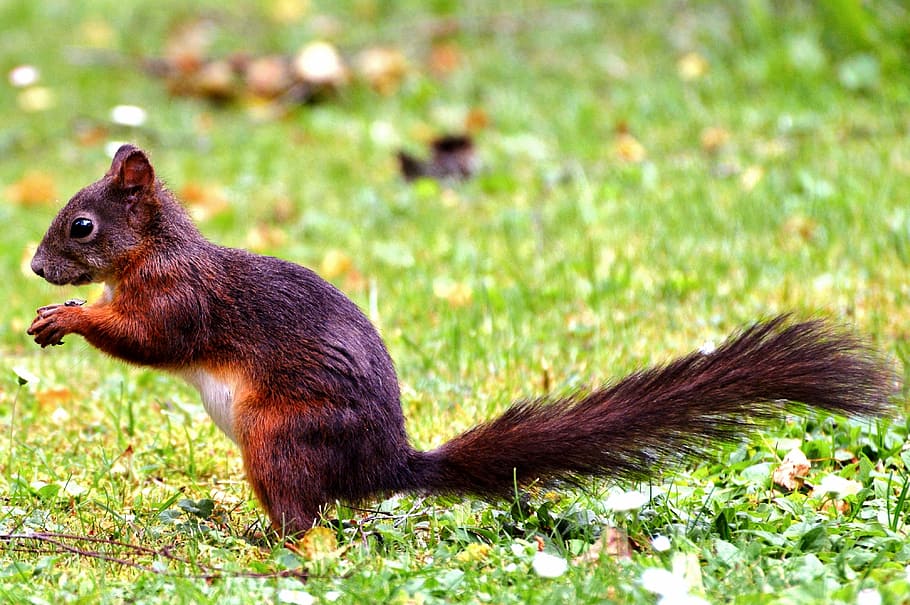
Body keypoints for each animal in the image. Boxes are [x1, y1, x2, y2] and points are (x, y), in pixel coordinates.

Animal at [28, 144, 897, 537]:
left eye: (82, 225)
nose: (35, 267)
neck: (158, 251)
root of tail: (384, 464)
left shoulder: (182, 302)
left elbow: (146, 338)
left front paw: (65, 317)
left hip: (281, 433)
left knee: (304, 517)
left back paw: (259, 536)